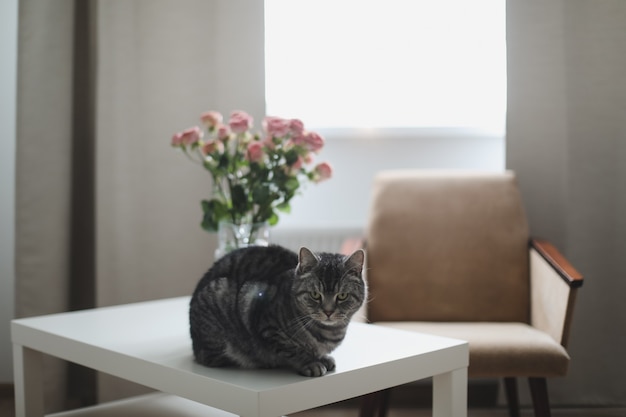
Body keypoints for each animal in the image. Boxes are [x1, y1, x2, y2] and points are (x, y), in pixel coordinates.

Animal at [190, 244, 366, 376]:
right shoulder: (267, 324)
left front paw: (323, 358)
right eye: (315, 295)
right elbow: (293, 351)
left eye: (342, 296)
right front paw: (311, 363)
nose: (328, 312)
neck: (328, 333)